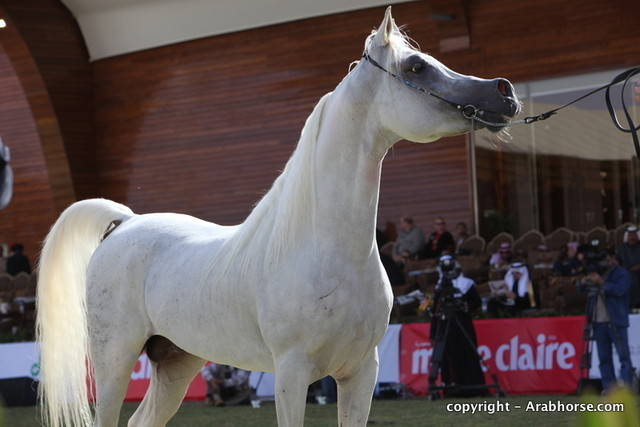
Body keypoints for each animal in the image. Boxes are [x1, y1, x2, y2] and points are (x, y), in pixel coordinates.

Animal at [36, 7, 519, 427]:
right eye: (416, 67)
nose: (505, 92)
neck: (326, 252)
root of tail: (126, 222)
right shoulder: (291, 373)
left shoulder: (361, 372)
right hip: (114, 363)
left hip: (176, 361)